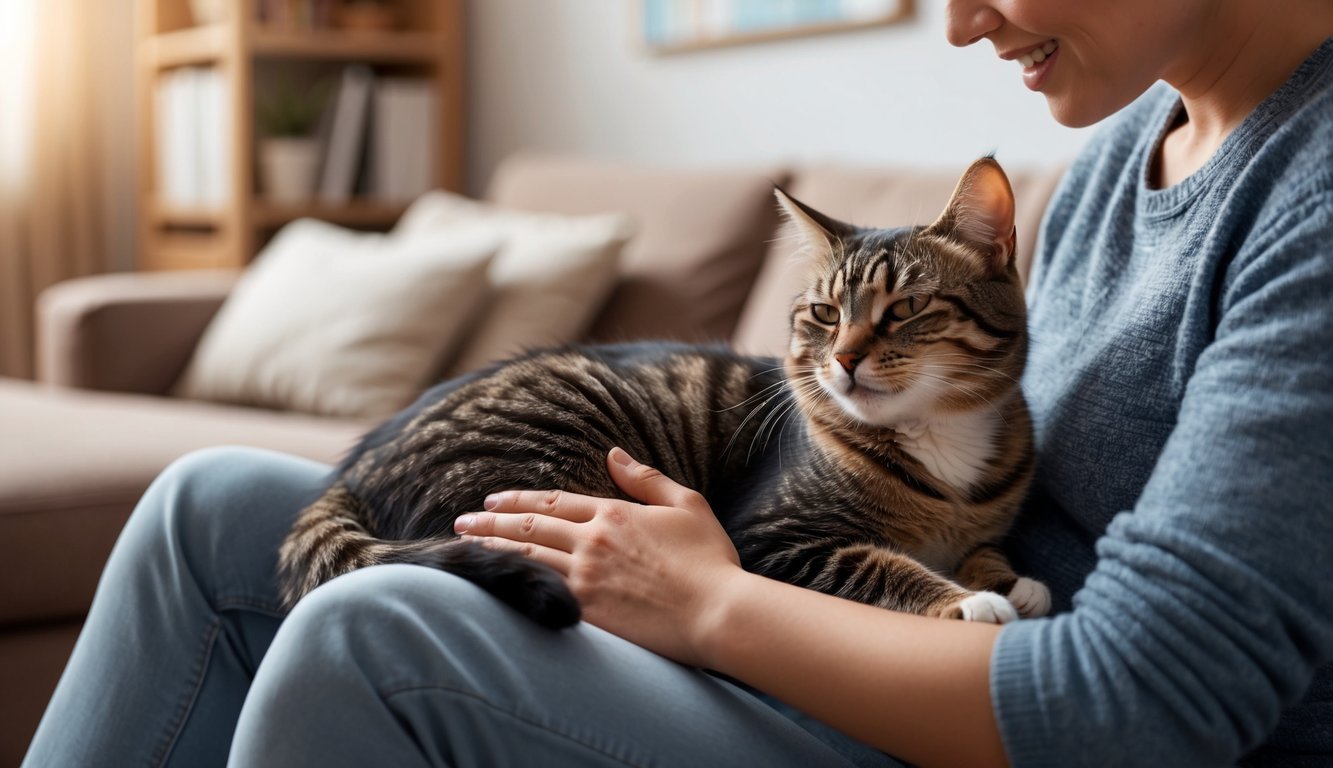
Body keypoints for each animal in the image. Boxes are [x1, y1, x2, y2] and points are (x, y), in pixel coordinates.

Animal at [278, 157, 1050, 629]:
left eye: (905, 309)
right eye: (825, 314)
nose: (845, 358)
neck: (940, 440)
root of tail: (354, 467)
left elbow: (987, 551)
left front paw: (1010, 580)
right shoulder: (776, 538)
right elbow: (880, 566)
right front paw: (972, 603)